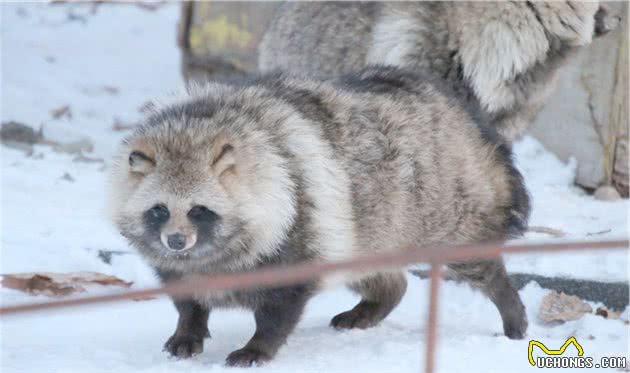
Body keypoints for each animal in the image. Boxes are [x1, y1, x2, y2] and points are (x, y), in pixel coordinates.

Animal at [110, 67, 532, 366]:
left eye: (199, 211)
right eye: (160, 210)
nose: (176, 241)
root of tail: (463, 113)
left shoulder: (297, 229)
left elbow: (279, 308)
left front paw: (259, 346)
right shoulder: (176, 264)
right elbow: (187, 299)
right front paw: (189, 328)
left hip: (447, 213)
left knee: (477, 263)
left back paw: (508, 304)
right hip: (370, 229)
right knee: (386, 277)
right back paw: (378, 301)